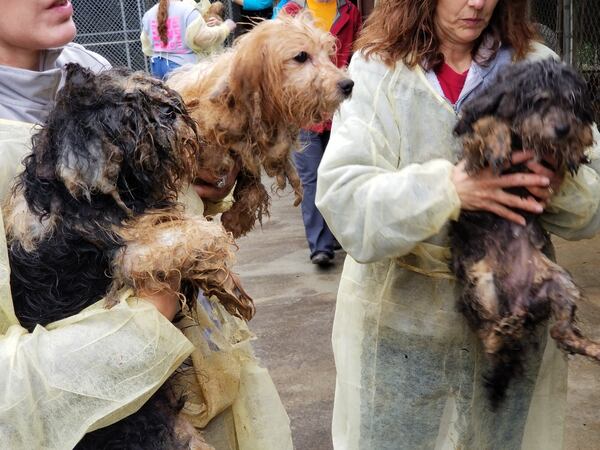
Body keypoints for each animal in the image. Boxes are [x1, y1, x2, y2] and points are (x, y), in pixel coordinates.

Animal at [4, 64, 253, 450]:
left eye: (152, 94)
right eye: (126, 119)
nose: (171, 111)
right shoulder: (131, 254)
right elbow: (196, 235)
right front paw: (228, 282)